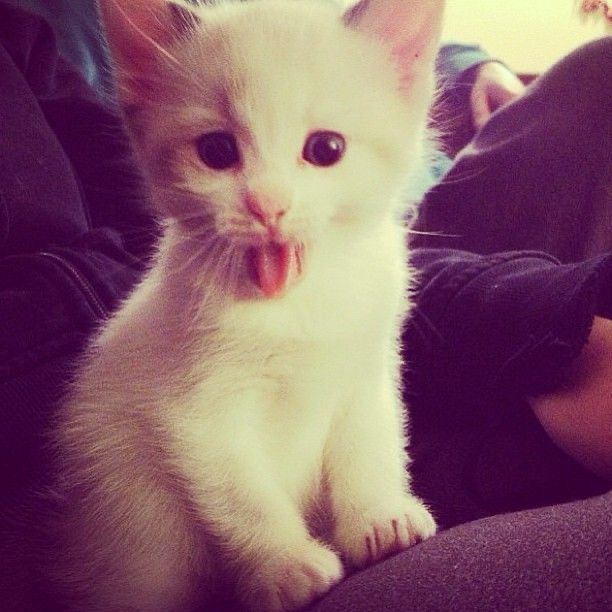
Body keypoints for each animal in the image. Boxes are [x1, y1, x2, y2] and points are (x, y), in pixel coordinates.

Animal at [51, 0, 444, 608]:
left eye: (326, 149)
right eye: (216, 151)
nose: (268, 204)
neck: (299, 302)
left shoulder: (366, 370)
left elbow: (370, 441)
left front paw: (379, 519)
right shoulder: (193, 413)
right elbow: (240, 494)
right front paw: (285, 565)